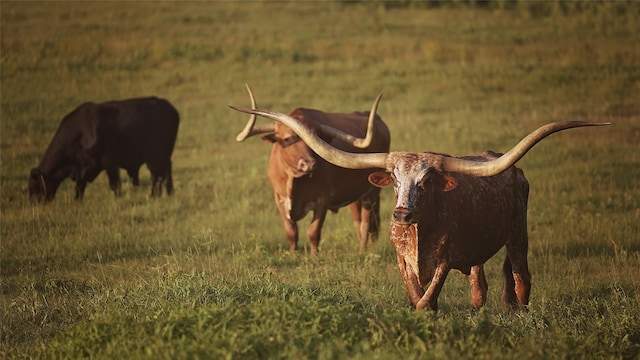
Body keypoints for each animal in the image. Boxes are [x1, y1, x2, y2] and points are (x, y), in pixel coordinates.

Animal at [29, 97, 180, 201]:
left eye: (35, 186)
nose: (33, 203)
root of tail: (169, 107)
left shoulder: (109, 162)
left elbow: (115, 184)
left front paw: (117, 199)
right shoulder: (82, 169)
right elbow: (80, 186)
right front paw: (77, 201)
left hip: (156, 157)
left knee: (157, 176)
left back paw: (155, 195)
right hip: (163, 157)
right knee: (165, 172)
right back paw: (169, 193)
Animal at [232, 86, 388, 256]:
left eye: (316, 137)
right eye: (286, 139)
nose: (309, 164)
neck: (295, 181)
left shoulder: (322, 200)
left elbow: (313, 231)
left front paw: (314, 256)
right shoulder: (279, 199)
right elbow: (291, 232)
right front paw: (293, 254)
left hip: (372, 192)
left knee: (366, 222)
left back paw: (362, 250)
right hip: (355, 195)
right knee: (359, 221)